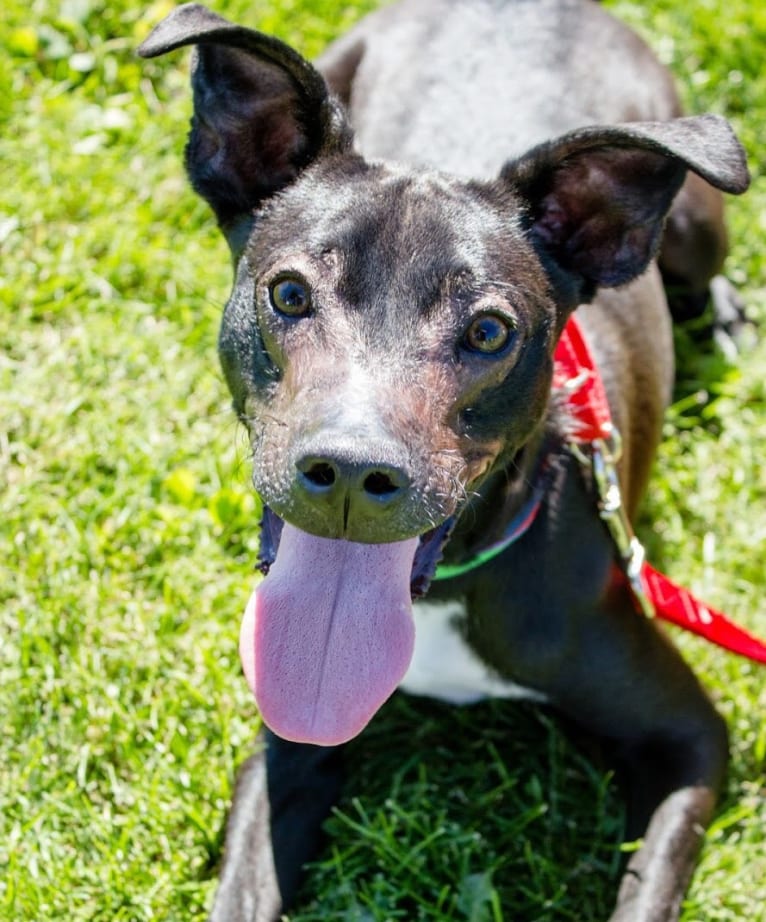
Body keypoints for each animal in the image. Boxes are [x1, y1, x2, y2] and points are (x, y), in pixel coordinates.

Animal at [138, 1, 752, 920]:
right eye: (289, 293)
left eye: (489, 331)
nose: (351, 475)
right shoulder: (288, 743)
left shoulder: (690, 740)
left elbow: (648, 892)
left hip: (695, 222)